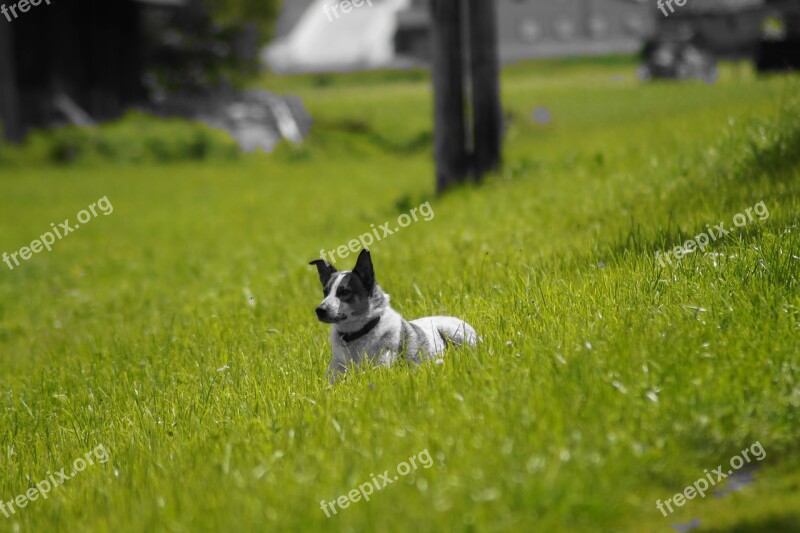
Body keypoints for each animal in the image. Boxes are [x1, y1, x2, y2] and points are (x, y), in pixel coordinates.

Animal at [310, 249, 478, 382]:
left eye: (345, 291)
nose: (319, 310)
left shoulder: (380, 370)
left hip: (455, 334)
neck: (355, 336)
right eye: (325, 291)